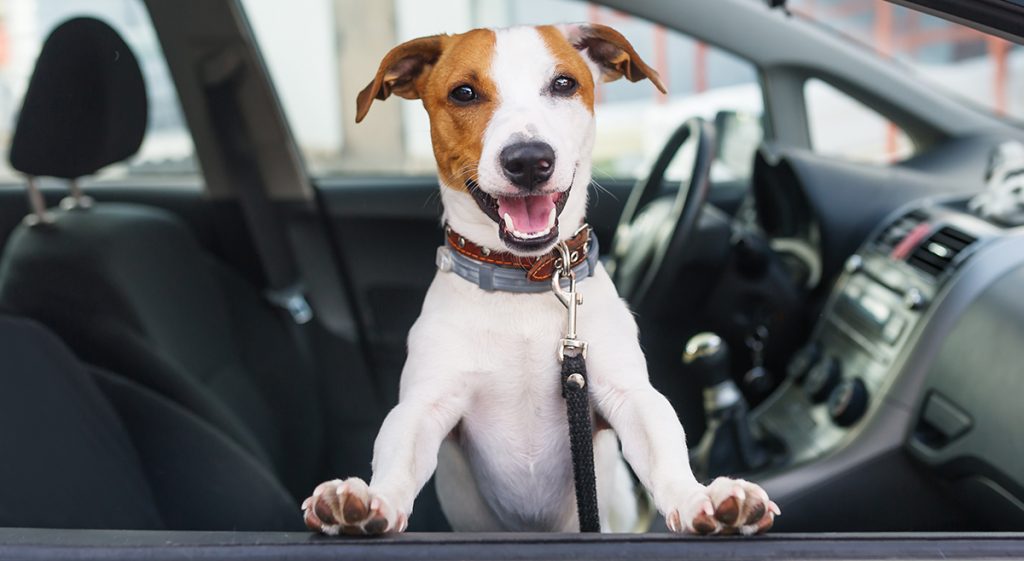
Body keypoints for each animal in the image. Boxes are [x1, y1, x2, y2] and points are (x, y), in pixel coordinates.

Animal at [301, 21, 774, 536]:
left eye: (564, 84)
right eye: (463, 93)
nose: (528, 159)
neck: (523, 279)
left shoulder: (627, 394)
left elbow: (664, 446)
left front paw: (700, 498)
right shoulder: (424, 406)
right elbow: (398, 457)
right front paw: (370, 502)